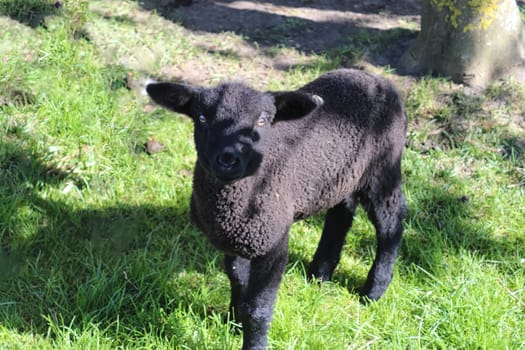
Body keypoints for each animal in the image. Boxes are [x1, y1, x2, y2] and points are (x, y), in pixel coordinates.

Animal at [145, 69, 408, 350]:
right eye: (202, 117)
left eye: (262, 120)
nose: (228, 159)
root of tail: (376, 78)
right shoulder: (238, 239)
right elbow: (239, 281)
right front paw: (234, 323)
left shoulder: (273, 243)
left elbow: (258, 308)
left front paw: (252, 340)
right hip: (340, 175)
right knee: (342, 211)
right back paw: (320, 273)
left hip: (383, 168)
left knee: (390, 224)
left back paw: (374, 291)